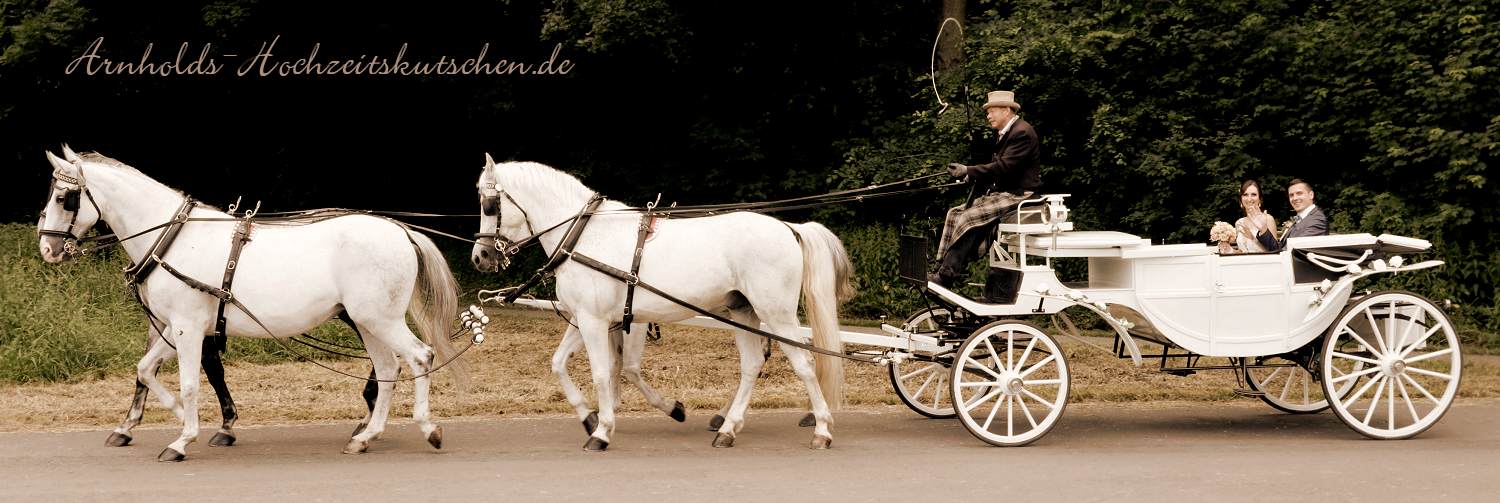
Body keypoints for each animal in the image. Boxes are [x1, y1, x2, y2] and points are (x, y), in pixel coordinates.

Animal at [38, 145, 465, 462]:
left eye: (63, 197)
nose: (47, 248)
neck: (172, 239)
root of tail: (399, 229)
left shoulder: (188, 327)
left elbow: (191, 382)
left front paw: (183, 438)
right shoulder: (175, 327)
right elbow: (145, 369)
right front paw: (172, 416)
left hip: (380, 319)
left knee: (420, 357)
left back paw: (428, 428)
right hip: (367, 321)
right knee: (389, 368)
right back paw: (366, 435)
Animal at [474, 155, 852, 450]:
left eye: (489, 204)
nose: (480, 256)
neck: (584, 236)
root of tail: (788, 227)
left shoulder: (595, 321)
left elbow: (601, 372)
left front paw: (602, 431)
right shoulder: (586, 319)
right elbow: (559, 364)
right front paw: (590, 417)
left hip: (776, 313)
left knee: (804, 363)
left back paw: (821, 429)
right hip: (743, 311)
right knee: (751, 366)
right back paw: (728, 429)